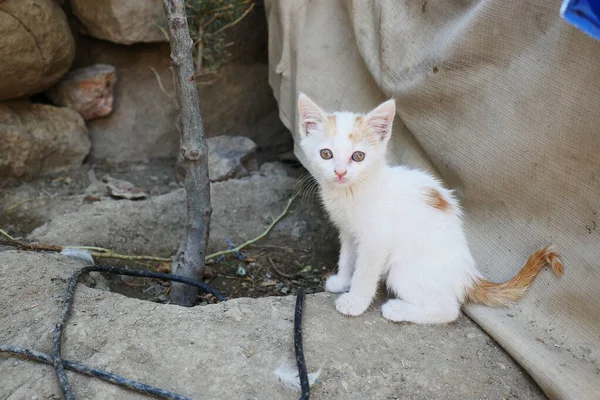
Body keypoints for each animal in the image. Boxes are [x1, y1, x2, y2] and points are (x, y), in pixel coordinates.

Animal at [296, 92, 564, 324]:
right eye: (326, 154)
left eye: (358, 156)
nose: (340, 172)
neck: (351, 191)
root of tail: (468, 275)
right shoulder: (349, 232)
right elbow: (347, 257)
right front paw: (342, 281)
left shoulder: (376, 240)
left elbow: (364, 271)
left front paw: (355, 302)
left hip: (403, 269)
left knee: (448, 310)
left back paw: (398, 310)